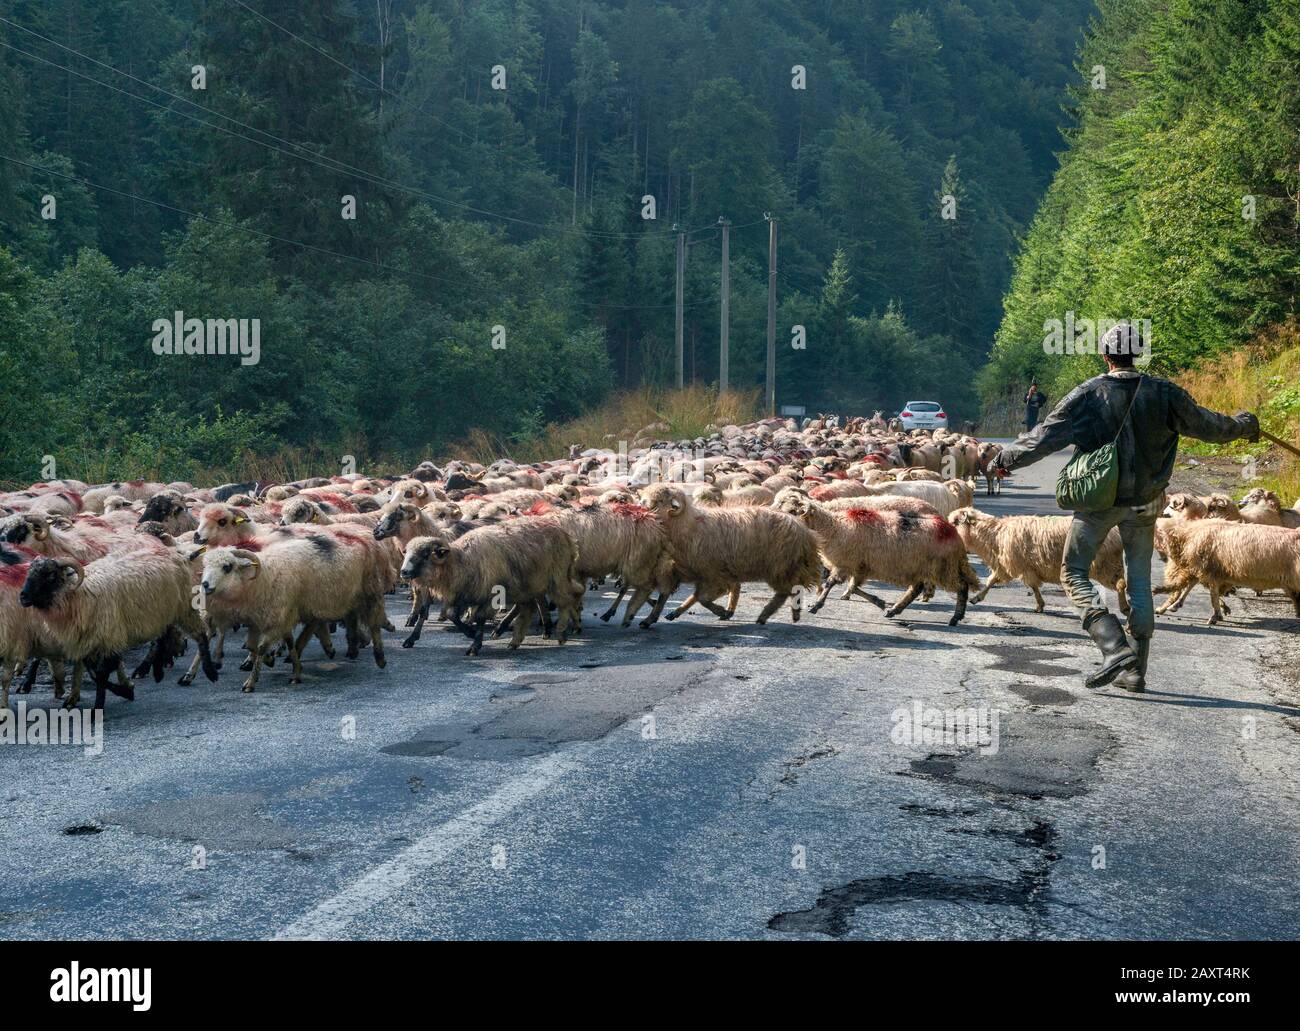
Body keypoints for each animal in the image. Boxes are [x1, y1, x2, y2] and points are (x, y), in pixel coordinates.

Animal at [395, 520, 579, 655]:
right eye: (406, 552)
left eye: (425, 554)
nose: (404, 572)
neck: (462, 562)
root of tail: (565, 534)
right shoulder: (463, 594)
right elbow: (451, 615)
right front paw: (470, 633)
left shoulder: (490, 593)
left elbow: (479, 617)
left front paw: (474, 644)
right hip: (527, 583)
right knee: (526, 606)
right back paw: (512, 638)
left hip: (555, 576)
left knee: (565, 600)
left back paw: (561, 633)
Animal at [642, 481, 816, 618]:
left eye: (658, 501)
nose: (641, 510)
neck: (689, 525)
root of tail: (804, 530)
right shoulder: (707, 572)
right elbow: (700, 596)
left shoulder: (713, 572)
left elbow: (704, 598)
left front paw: (719, 610)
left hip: (780, 566)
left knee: (787, 590)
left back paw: (771, 614)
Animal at [769, 488, 977, 624]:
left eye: (792, 510)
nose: (775, 519)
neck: (834, 526)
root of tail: (951, 530)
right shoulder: (859, 565)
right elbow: (854, 587)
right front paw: (880, 603)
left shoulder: (845, 563)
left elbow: (831, 584)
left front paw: (816, 604)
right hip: (918, 567)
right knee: (916, 588)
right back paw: (895, 609)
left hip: (943, 567)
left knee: (962, 586)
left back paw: (956, 616)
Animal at [946, 504, 1128, 611]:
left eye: (955, 522)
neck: (994, 534)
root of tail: (1117, 534)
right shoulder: (1006, 566)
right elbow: (992, 581)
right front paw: (977, 598)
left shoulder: (1021, 566)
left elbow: (1033, 586)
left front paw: (1040, 605)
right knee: (1123, 583)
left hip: (1105, 565)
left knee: (1121, 584)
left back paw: (1125, 608)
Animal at [1159, 522, 1300, 626]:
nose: (1167, 574)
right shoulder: (1210, 571)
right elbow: (1194, 586)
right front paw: (1175, 605)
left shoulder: (1208, 569)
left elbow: (1212, 595)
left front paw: (1215, 616)